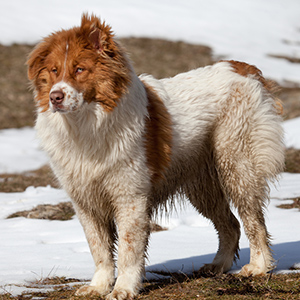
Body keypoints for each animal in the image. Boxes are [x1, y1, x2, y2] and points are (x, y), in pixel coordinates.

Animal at [27, 13, 284, 300]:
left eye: (80, 69)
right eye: (54, 71)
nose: (55, 97)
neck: (88, 126)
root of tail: (245, 68)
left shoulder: (130, 197)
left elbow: (128, 250)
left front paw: (123, 288)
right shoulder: (85, 200)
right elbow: (99, 249)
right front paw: (98, 286)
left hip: (237, 166)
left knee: (253, 221)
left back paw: (258, 267)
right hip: (203, 187)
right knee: (230, 224)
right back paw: (217, 266)